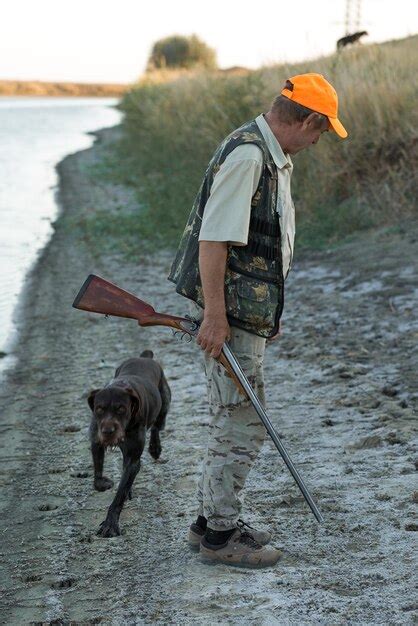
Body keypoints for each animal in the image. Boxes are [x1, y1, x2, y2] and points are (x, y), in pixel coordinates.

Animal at [86, 348, 171, 532]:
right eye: (99, 409)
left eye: (121, 409)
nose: (108, 431)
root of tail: (145, 357)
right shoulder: (96, 439)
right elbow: (98, 467)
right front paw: (102, 483)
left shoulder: (133, 457)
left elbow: (120, 493)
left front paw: (110, 524)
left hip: (164, 403)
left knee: (157, 425)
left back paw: (155, 447)